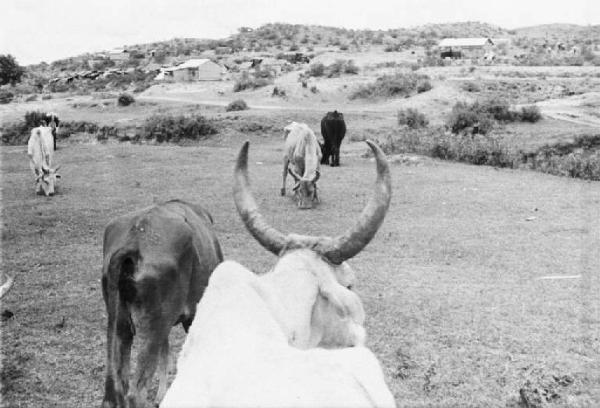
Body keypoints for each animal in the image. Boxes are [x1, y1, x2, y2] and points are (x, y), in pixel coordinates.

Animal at [102, 201, 224, 408]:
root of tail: (134, 240)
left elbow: (165, 355)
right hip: (152, 327)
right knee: (136, 392)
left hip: (122, 324)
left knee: (119, 388)